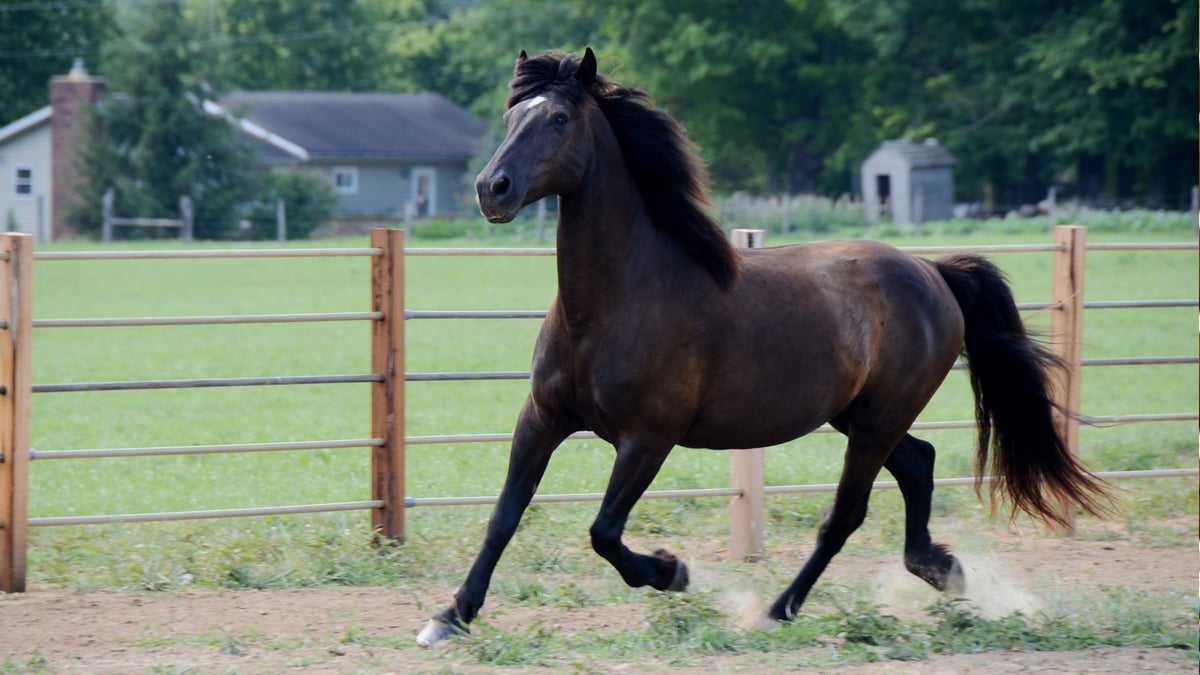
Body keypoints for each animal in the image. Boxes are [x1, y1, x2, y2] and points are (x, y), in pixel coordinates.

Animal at [416, 48, 1111, 646]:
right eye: (512, 116)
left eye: (559, 119)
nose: (493, 189)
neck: (616, 302)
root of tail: (933, 273)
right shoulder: (542, 418)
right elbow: (505, 516)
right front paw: (450, 616)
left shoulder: (648, 438)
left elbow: (604, 531)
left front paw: (671, 570)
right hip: (859, 416)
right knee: (919, 463)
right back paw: (942, 570)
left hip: (876, 420)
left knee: (846, 514)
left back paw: (779, 610)